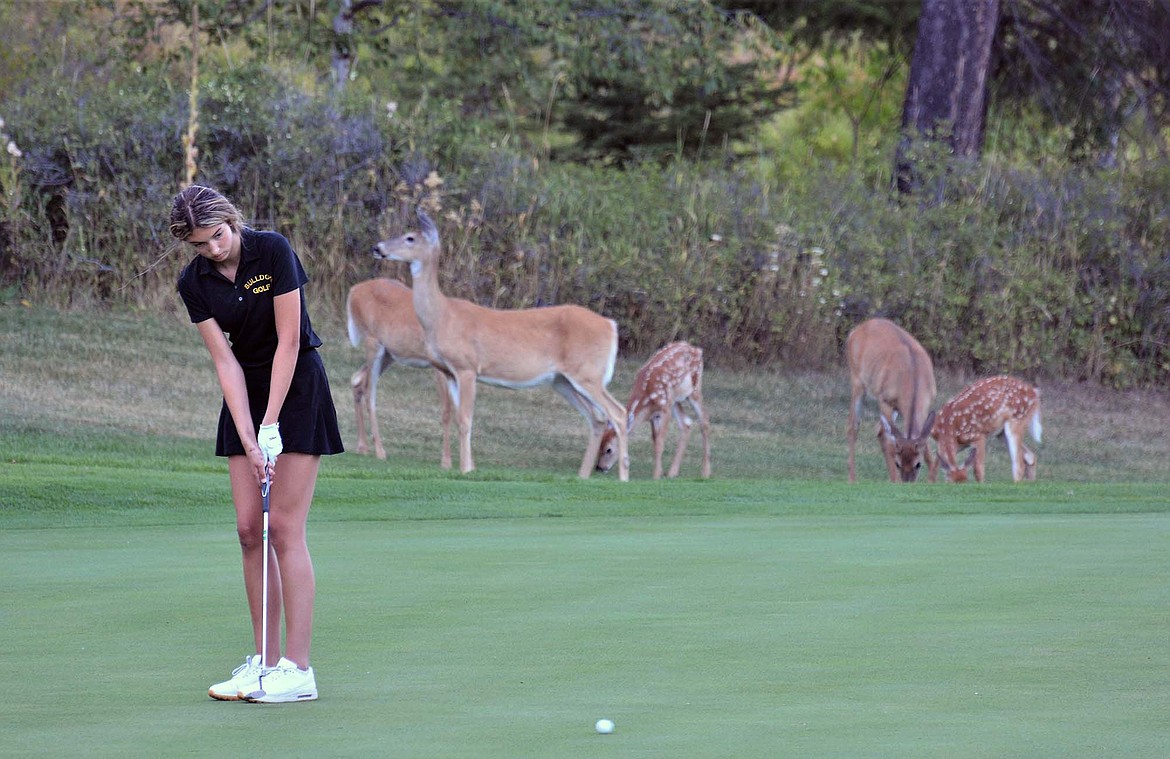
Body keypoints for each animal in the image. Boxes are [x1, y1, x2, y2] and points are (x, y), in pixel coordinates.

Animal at [343, 278, 453, 467]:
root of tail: (353, 290)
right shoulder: (439, 365)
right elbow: (447, 410)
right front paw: (446, 461)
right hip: (373, 342)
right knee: (369, 393)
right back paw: (380, 451)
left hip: (389, 353)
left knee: (357, 380)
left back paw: (362, 447)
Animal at [374, 208, 631, 479]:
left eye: (410, 238)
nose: (377, 247)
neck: (443, 316)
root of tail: (611, 325)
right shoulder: (450, 372)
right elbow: (459, 418)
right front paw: (470, 467)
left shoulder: (467, 367)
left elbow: (466, 419)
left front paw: (465, 470)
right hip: (562, 381)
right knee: (597, 418)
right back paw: (582, 476)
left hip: (588, 373)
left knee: (618, 413)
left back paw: (623, 477)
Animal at [594, 343, 711, 479]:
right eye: (599, 446)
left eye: (609, 450)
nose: (600, 467)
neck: (646, 399)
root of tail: (696, 350)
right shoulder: (654, 415)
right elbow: (655, 440)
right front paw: (660, 472)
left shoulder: (665, 410)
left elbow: (660, 442)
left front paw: (655, 476)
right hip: (674, 399)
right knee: (686, 423)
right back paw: (672, 472)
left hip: (694, 389)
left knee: (704, 421)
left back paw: (705, 472)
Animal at [847, 315, 935, 481]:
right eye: (898, 464)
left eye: (918, 464)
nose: (907, 481)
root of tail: (855, 330)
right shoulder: (885, 400)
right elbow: (890, 445)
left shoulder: (927, 404)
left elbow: (928, 450)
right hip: (856, 380)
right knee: (853, 426)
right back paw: (852, 479)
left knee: (879, 430)